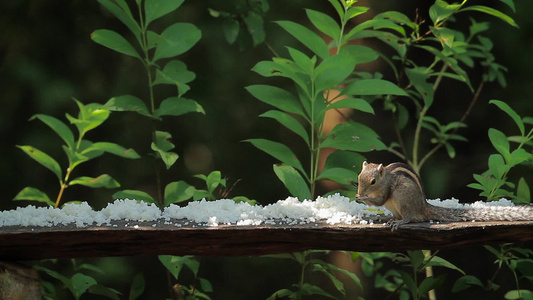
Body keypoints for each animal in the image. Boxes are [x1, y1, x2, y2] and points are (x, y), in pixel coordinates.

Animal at [354, 162, 532, 230]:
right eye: (359, 176)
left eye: (373, 181)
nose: (360, 193)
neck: (386, 178)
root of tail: (423, 206)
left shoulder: (386, 190)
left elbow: (380, 201)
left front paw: (363, 198)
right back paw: (386, 218)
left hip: (402, 199)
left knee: (412, 217)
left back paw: (400, 222)